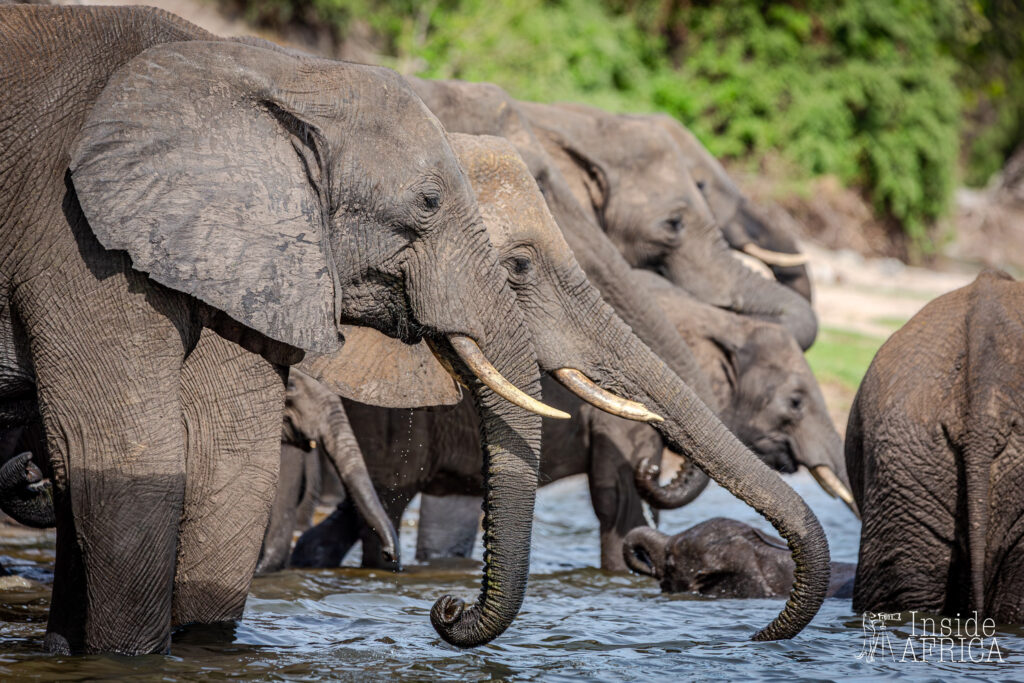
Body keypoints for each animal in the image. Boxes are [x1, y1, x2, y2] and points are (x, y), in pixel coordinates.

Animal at [2, 6, 561, 655]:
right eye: (428, 202)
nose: (444, 608)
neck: (280, 70)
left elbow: (227, 450)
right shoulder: (74, 235)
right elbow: (122, 449)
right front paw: (128, 660)